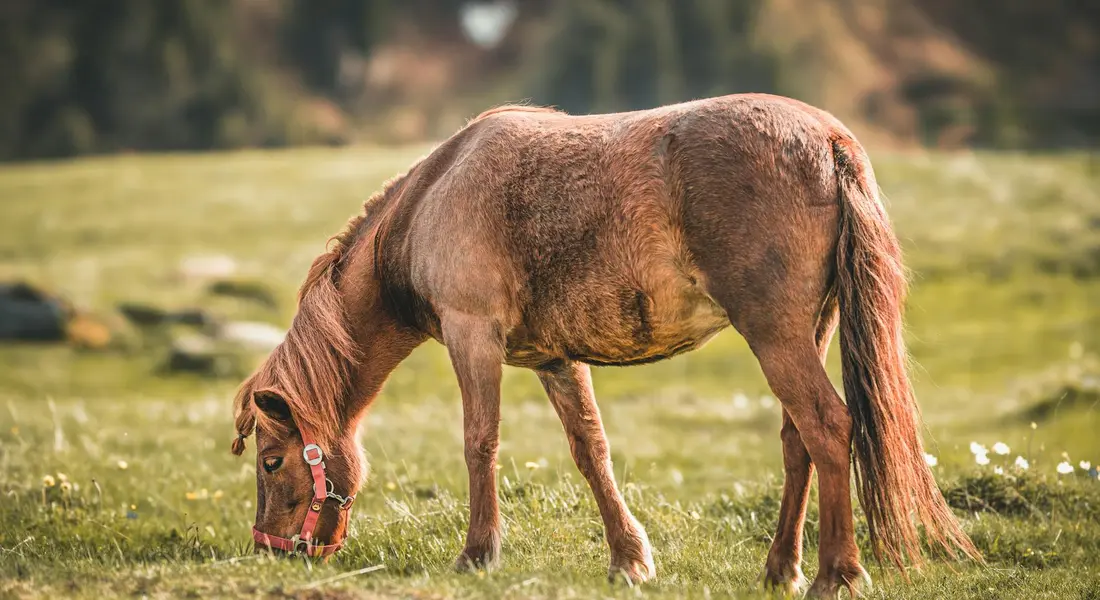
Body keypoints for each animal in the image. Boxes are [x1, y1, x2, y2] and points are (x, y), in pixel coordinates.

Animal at [229, 93, 979, 597]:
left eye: (271, 461)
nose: (274, 550)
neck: (433, 199)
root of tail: (828, 140)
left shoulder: (473, 337)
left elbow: (479, 442)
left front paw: (478, 553)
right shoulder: (554, 359)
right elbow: (591, 452)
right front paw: (629, 559)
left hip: (777, 336)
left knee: (827, 427)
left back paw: (837, 574)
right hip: (806, 333)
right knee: (800, 441)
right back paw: (781, 569)